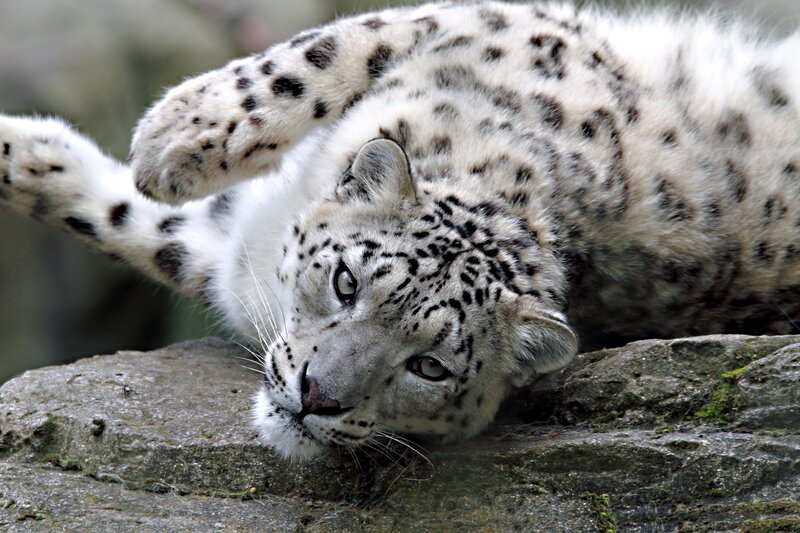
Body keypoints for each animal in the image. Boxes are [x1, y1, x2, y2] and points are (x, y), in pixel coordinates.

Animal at [1, 1, 799, 461]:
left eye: (431, 367)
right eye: (345, 279)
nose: (315, 397)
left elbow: (153, 233)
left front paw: (163, 142)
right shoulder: (512, 22)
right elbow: (332, 46)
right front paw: (169, 137)